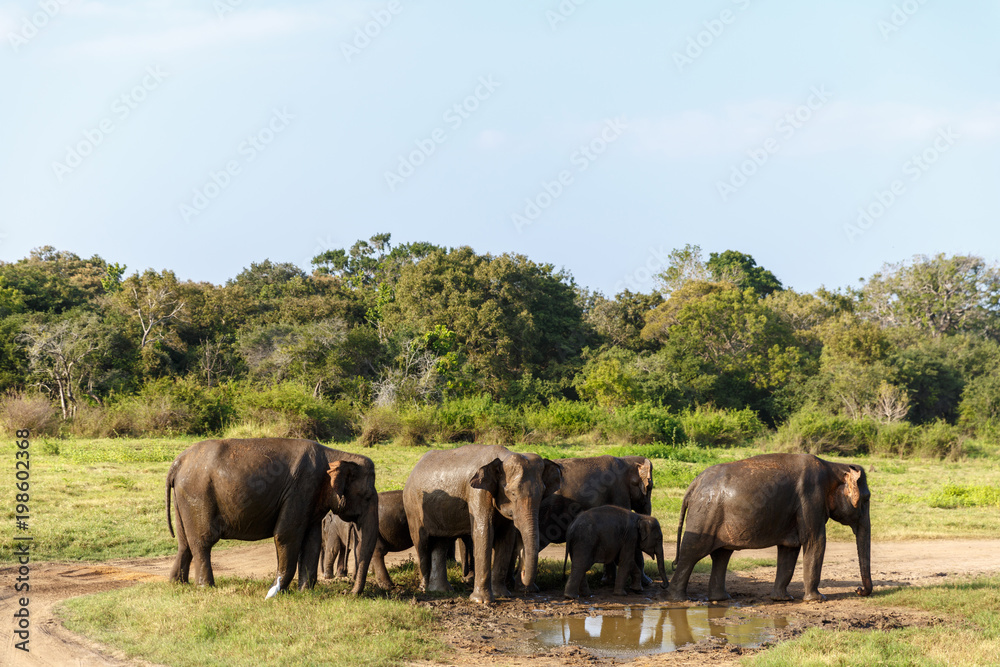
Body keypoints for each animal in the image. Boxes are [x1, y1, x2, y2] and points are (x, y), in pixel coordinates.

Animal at [168, 438, 378, 596]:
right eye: (367, 496)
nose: (347, 592)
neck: (335, 455)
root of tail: (178, 462)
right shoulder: (301, 488)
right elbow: (286, 535)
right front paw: (275, 592)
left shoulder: (310, 497)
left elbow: (312, 540)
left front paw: (305, 592)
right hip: (197, 495)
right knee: (202, 541)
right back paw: (206, 587)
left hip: (183, 499)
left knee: (184, 543)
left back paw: (178, 584)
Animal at [404, 444, 564, 604]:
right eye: (512, 493)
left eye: (542, 493)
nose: (523, 573)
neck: (503, 456)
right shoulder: (477, 493)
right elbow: (484, 532)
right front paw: (481, 601)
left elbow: (506, 538)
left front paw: (503, 595)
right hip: (413, 508)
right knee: (422, 543)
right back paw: (424, 588)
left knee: (441, 543)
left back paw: (441, 590)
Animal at [668, 454, 872, 604]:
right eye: (866, 499)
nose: (858, 590)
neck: (833, 466)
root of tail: (694, 483)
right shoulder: (811, 499)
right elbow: (815, 541)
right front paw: (818, 599)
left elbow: (789, 549)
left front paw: (783, 599)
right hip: (704, 516)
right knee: (692, 552)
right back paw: (680, 600)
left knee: (722, 554)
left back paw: (721, 598)